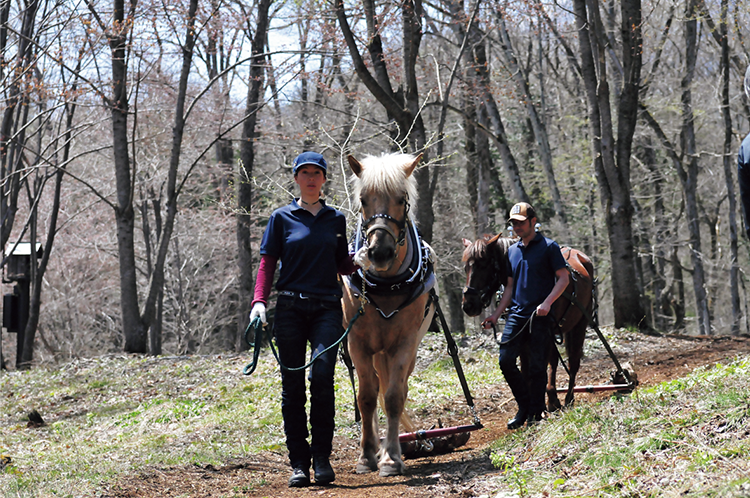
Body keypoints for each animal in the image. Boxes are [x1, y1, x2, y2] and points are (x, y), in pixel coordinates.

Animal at [344, 151, 438, 474]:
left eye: (401, 198)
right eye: (363, 200)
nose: (380, 253)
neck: (386, 284)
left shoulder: (404, 344)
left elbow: (395, 397)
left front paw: (391, 458)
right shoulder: (357, 343)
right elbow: (366, 397)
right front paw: (366, 455)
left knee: (396, 389)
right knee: (372, 391)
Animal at [462, 235, 596, 410]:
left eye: (483, 265)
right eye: (466, 267)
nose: (468, 305)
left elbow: (544, 365)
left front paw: (548, 401)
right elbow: (526, 370)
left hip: (580, 322)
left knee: (573, 361)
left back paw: (567, 398)